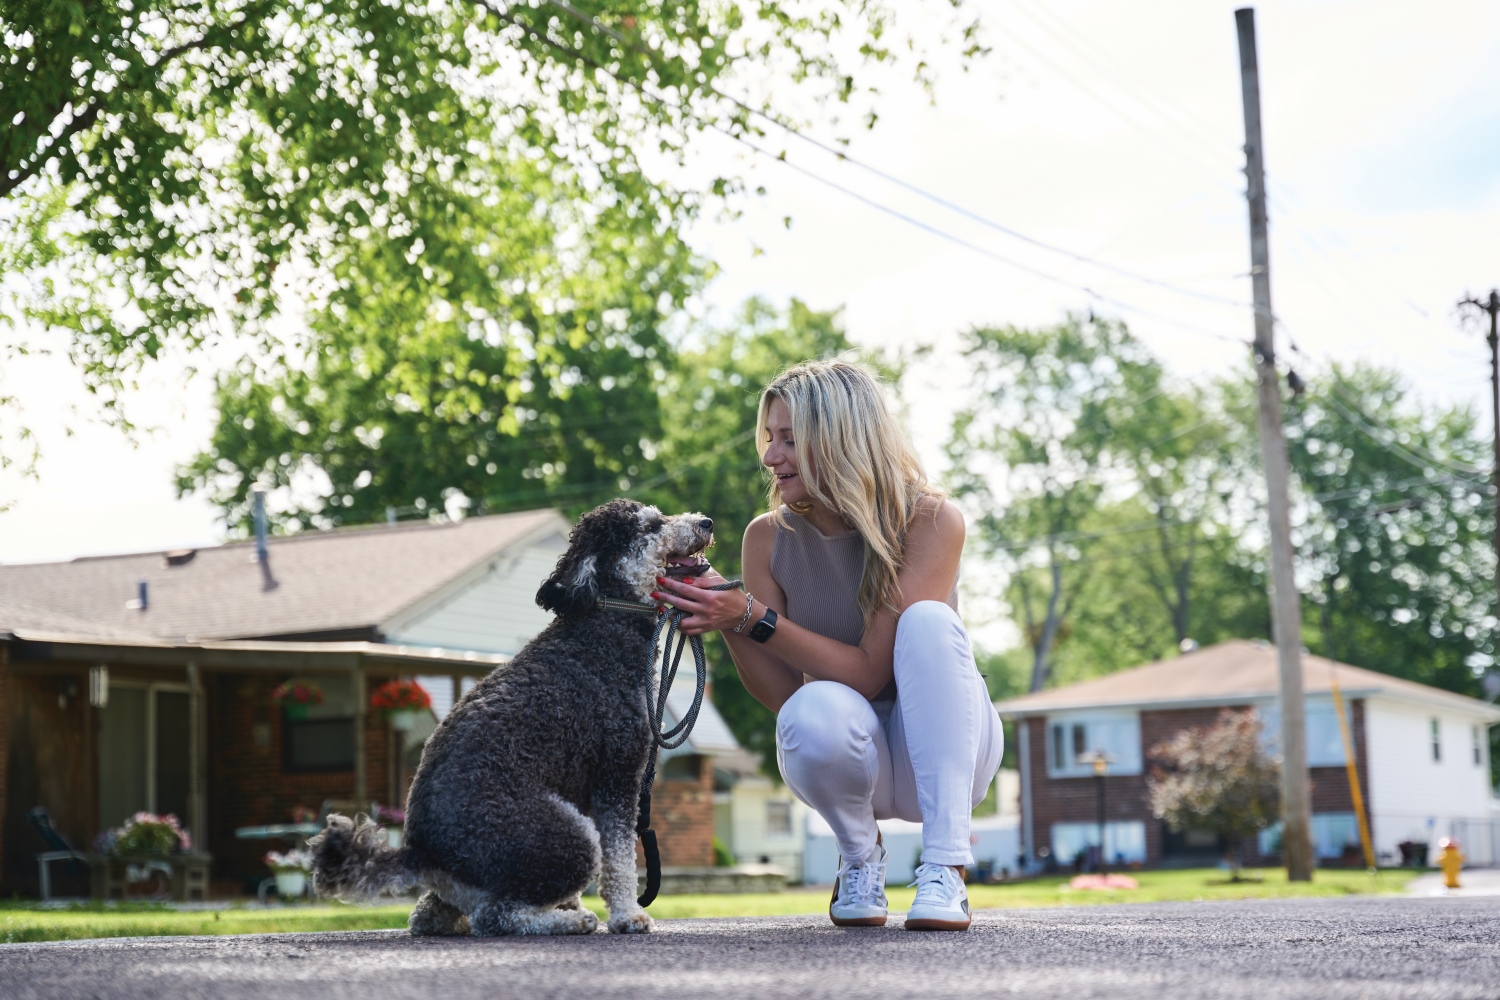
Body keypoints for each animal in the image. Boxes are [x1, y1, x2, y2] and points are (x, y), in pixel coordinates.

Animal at [307, 498, 714, 936]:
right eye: (652, 525)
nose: (706, 522)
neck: (605, 621)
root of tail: (423, 852)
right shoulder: (618, 773)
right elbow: (620, 858)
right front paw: (627, 915)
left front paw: (581, 906)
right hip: (564, 835)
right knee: (496, 916)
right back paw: (570, 921)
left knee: (432, 914)